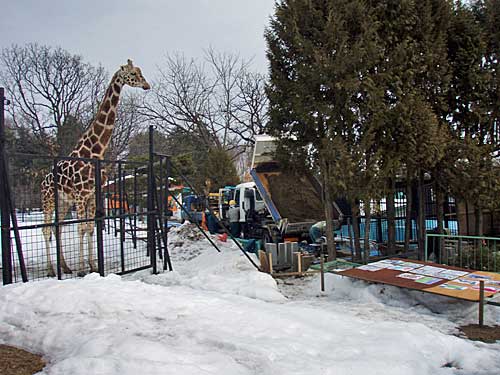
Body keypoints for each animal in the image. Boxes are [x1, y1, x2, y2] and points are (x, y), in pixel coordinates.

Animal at [40, 58, 150, 276]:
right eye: (133, 73)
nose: (147, 85)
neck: (95, 150)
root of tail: (43, 180)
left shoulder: (92, 194)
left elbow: (90, 228)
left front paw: (93, 266)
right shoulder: (81, 194)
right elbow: (81, 228)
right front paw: (83, 269)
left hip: (63, 202)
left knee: (58, 227)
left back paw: (65, 267)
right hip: (48, 199)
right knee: (46, 229)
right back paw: (51, 269)